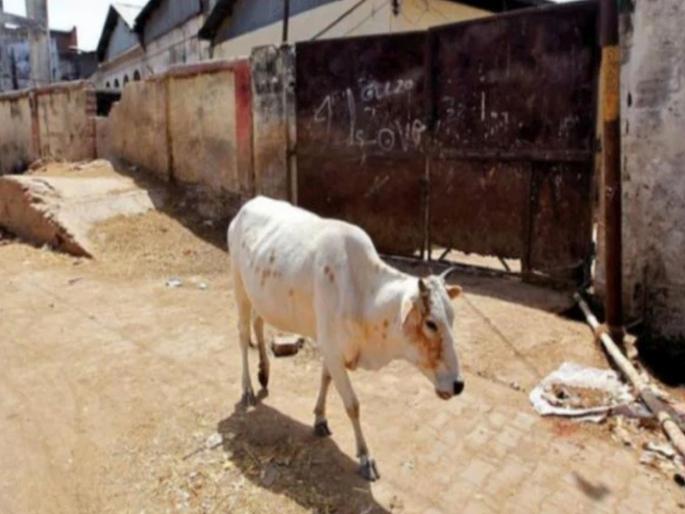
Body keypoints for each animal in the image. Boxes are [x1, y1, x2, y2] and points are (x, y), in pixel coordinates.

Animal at [227, 196, 464, 481]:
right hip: (239, 287)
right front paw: (365, 457)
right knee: (242, 335)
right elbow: (352, 404)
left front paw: (319, 419)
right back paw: (248, 389)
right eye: (431, 323)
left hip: (260, 296)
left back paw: (264, 372)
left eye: (452, 318)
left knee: (258, 323)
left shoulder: (331, 349)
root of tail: (248, 204)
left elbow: (325, 379)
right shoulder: (330, 347)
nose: (458, 384)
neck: (362, 293)